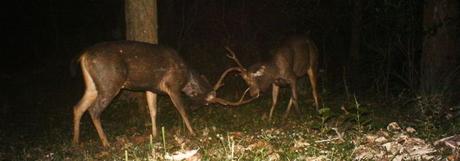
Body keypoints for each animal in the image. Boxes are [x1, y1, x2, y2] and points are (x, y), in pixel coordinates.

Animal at [72, 40, 253, 147]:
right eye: (208, 102)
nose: (197, 107)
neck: (187, 78)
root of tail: (83, 56)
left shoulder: (151, 88)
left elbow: (153, 110)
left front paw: (155, 134)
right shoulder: (172, 86)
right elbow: (182, 110)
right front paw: (193, 132)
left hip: (92, 86)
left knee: (78, 107)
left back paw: (75, 142)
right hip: (110, 83)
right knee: (93, 110)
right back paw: (106, 143)